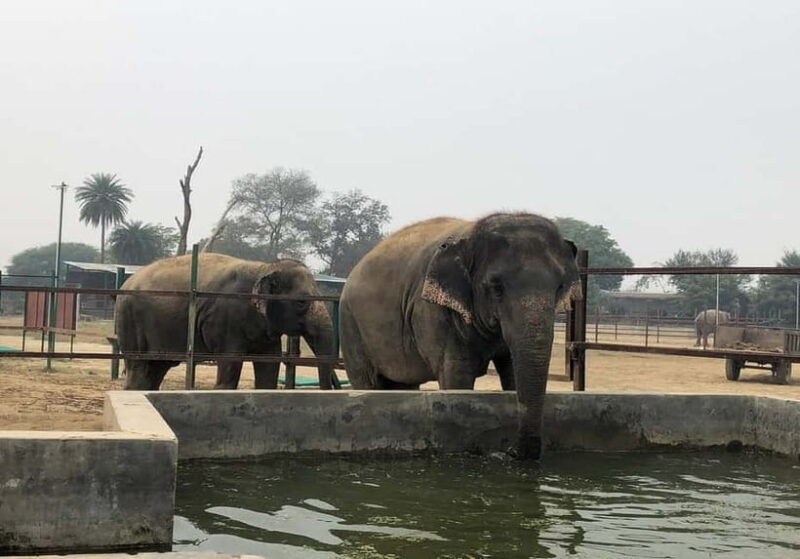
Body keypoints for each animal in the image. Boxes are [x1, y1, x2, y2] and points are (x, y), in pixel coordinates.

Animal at [115, 253, 337, 390]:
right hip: (130, 322)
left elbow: (269, 366)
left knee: (157, 369)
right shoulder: (224, 320)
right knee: (139, 369)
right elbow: (230, 364)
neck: (264, 267)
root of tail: (125, 283)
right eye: (301, 302)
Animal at [339, 212, 580, 459]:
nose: (512, 451)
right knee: (368, 379)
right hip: (350, 324)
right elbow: (456, 374)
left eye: (560, 287)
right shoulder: (431, 310)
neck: (472, 232)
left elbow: (511, 369)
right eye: (496, 287)